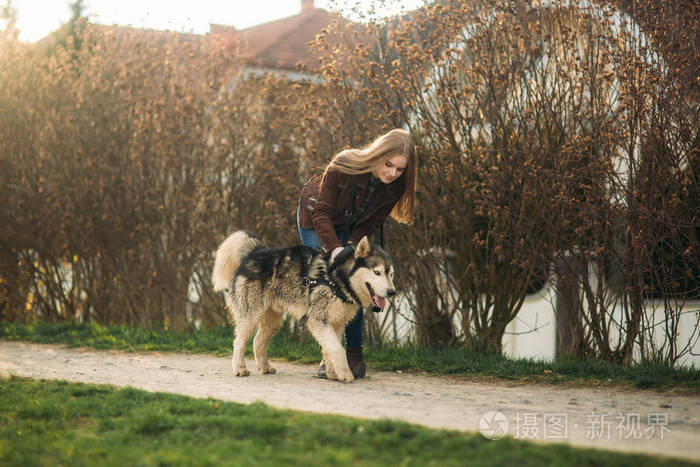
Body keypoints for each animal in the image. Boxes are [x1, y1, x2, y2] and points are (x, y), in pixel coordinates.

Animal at [211, 231, 396, 384]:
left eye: (391, 274)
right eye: (377, 272)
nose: (392, 292)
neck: (337, 280)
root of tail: (256, 251)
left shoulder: (335, 323)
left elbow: (330, 349)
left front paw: (332, 373)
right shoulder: (317, 320)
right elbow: (337, 349)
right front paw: (345, 373)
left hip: (273, 319)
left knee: (258, 341)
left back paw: (265, 367)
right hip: (251, 315)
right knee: (239, 342)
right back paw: (239, 368)